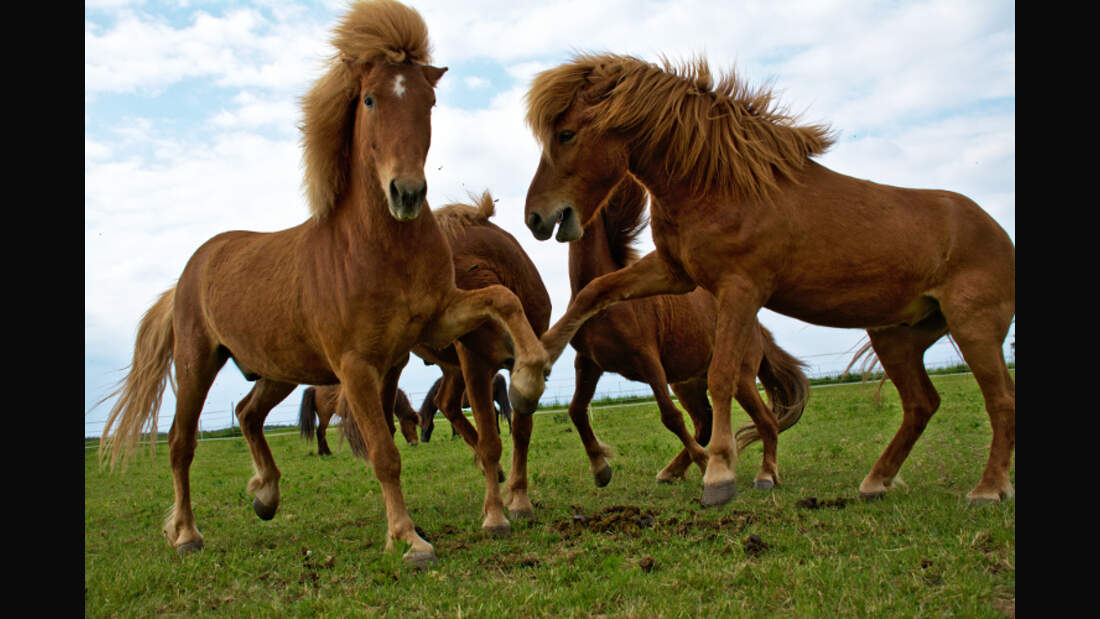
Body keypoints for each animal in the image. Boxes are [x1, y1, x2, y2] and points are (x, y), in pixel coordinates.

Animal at [92, 0, 547, 567]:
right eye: (370, 99)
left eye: (430, 102)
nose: (406, 194)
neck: (377, 249)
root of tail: (187, 276)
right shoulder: (355, 366)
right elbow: (384, 453)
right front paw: (409, 539)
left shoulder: (438, 319)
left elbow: (502, 299)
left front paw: (529, 376)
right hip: (197, 362)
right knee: (181, 442)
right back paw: (187, 534)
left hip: (278, 370)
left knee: (246, 413)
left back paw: (266, 495)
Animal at [567, 177, 809, 492]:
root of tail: (759, 330)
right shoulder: (589, 363)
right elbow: (576, 410)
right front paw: (601, 469)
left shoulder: (648, 361)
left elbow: (671, 417)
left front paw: (705, 463)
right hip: (689, 383)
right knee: (705, 422)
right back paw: (671, 471)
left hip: (741, 377)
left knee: (766, 421)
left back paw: (765, 475)